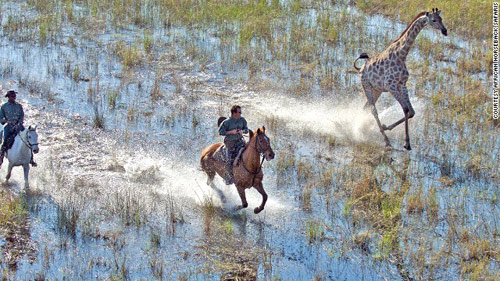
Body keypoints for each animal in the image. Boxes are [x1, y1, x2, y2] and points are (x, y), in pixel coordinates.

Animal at [354, 8, 448, 149]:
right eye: (434, 20)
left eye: (441, 19)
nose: (445, 31)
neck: (401, 54)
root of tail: (360, 68)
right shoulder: (391, 86)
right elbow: (405, 109)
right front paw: (406, 143)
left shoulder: (402, 85)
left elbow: (411, 112)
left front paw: (388, 127)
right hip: (366, 86)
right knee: (373, 110)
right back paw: (386, 140)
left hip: (377, 90)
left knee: (366, 108)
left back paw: (365, 129)